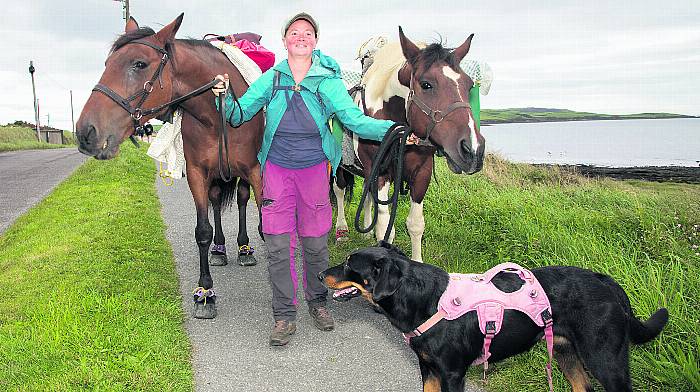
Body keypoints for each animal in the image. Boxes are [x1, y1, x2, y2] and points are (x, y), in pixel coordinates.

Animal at [75, 13, 264, 318]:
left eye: (139, 64)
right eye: (107, 64)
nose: (85, 132)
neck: (218, 114)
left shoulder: (256, 171)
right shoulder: (198, 174)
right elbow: (202, 231)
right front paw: (205, 293)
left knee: (243, 199)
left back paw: (244, 248)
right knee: (215, 202)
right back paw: (220, 248)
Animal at [320, 243, 668, 390]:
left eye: (350, 264)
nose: (322, 274)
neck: (425, 300)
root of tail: (605, 281)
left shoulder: (452, 374)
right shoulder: (428, 369)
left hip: (606, 360)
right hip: (567, 355)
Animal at [332, 27, 484, 262]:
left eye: (468, 85)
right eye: (426, 84)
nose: (473, 150)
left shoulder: (422, 173)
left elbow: (415, 225)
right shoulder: (381, 174)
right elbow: (385, 228)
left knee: (366, 195)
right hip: (338, 165)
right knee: (339, 190)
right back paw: (342, 230)